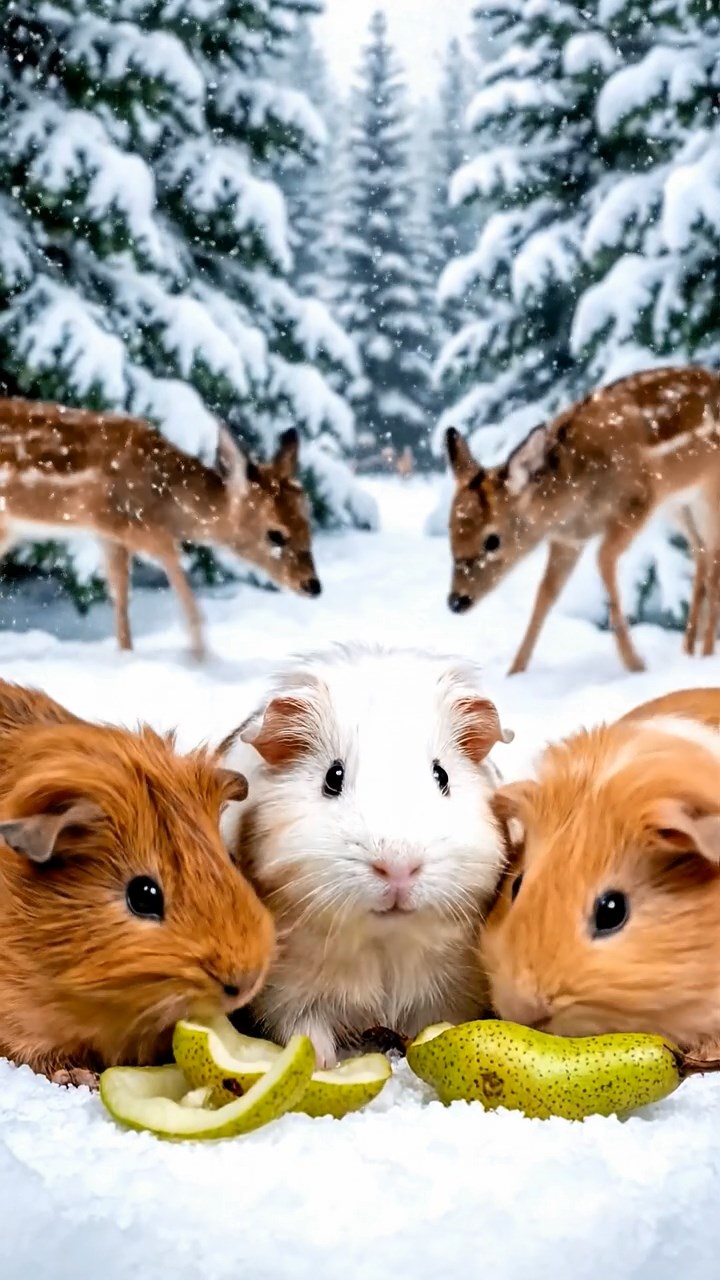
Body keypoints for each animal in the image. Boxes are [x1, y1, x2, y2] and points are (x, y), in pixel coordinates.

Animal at [0, 398, 322, 659]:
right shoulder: (124, 522)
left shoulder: (108, 535)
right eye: (276, 534)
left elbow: (121, 593)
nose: (313, 585)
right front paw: (201, 656)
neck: (164, 496)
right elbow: (172, 562)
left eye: (308, 524)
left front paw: (126, 654)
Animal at [445, 365, 720, 676]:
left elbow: (602, 559)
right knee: (700, 552)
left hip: (708, 493)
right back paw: (689, 649)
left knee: (713, 559)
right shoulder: (568, 539)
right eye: (450, 532)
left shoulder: (639, 499)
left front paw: (634, 662)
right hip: (679, 504)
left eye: (492, 540)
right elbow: (545, 593)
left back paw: (706, 653)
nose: (456, 601)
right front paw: (515, 671)